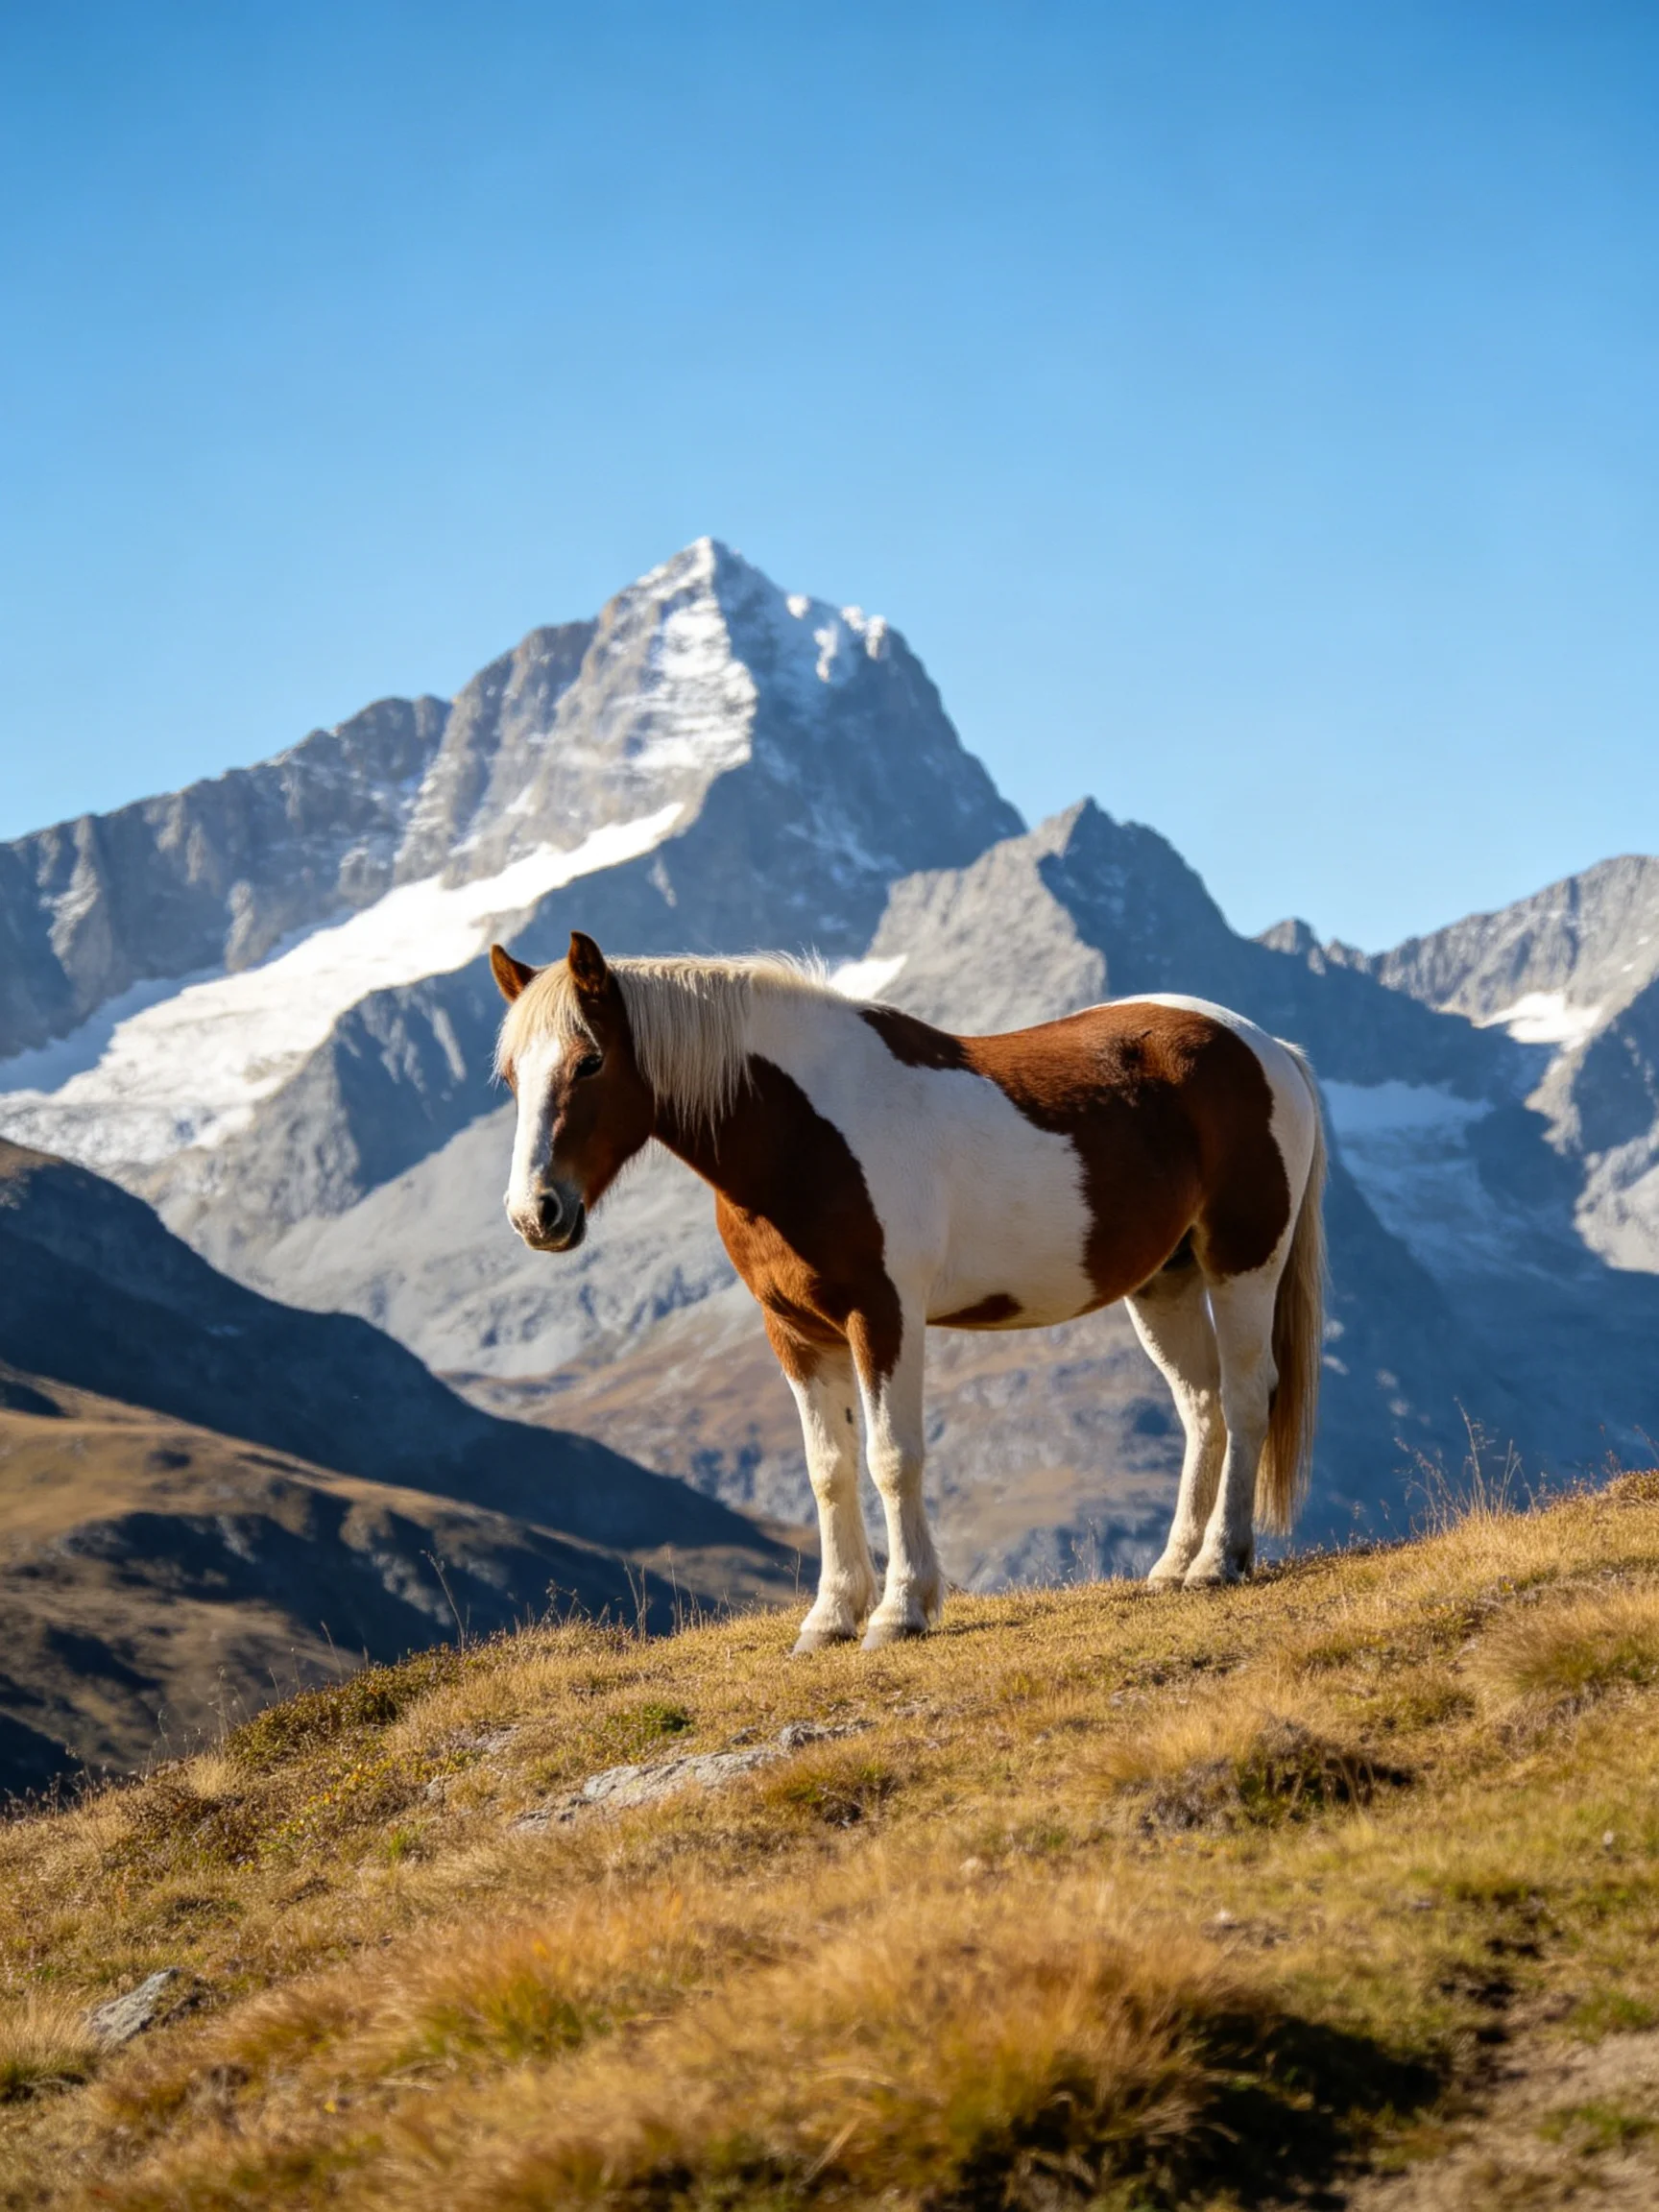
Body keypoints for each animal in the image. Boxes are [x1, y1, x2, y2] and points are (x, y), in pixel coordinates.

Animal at [490, 931, 1327, 1651]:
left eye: (590, 1062)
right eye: (510, 1077)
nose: (536, 1214)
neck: (802, 1132)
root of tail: (1268, 1048)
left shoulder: (883, 1315)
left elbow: (893, 1457)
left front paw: (899, 1612)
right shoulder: (794, 1331)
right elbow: (828, 1468)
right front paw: (830, 1617)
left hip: (1244, 1261)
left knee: (1246, 1396)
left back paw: (1220, 1561)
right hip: (1165, 1282)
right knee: (1202, 1407)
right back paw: (1172, 1567)